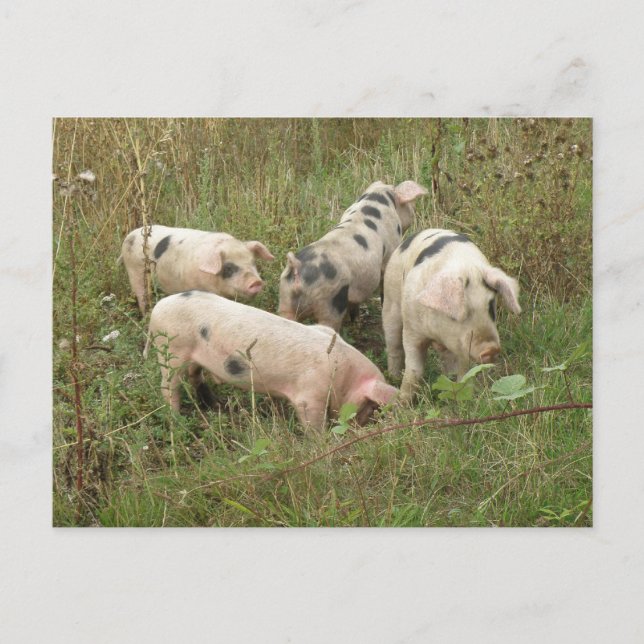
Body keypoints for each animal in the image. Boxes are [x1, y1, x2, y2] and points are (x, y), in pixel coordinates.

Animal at [119, 225, 274, 314]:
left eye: (253, 262)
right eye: (229, 267)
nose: (256, 282)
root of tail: (130, 235)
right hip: (135, 271)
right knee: (141, 295)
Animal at [144, 290, 398, 431]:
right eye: (370, 405)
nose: (360, 426)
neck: (344, 375)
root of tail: (157, 308)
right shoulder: (309, 396)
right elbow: (313, 424)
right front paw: (321, 442)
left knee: (194, 375)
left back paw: (213, 405)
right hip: (172, 351)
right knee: (168, 387)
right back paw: (177, 419)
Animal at [278, 180, 428, 331]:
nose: (414, 211)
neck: (377, 198)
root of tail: (297, 267)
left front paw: (356, 321)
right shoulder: (391, 248)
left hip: (285, 298)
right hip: (330, 300)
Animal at [382, 228, 521, 401]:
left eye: (491, 307)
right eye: (457, 314)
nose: (491, 349)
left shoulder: (461, 345)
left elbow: (465, 372)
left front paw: (463, 399)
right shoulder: (412, 330)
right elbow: (414, 370)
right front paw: (401, 401)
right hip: (391, 299)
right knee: (393, 345)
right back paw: (393, 377)